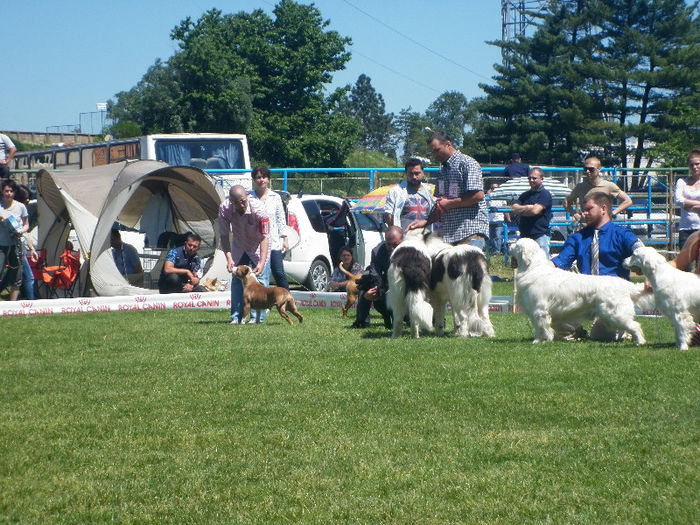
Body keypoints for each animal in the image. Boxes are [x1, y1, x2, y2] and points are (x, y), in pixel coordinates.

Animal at [508, 237, 644, 344]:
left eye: (517, 244)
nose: (508, 244)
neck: (532, 268)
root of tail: (624, 283)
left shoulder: (539, 310)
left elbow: (541, 328)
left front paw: (541, 341)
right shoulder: (534, 311)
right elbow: (538, 328)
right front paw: (538, 340)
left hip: (614, 314)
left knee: (635, 326)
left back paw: (640, 342)